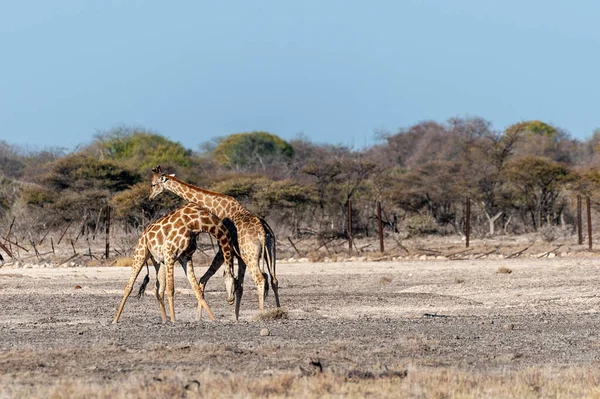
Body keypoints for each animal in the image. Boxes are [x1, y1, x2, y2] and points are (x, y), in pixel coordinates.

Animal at [150, 164, 282, 320]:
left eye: (153, 184)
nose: (150, 197)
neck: (217, 207)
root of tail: (262, 232)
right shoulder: (238, 255)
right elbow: (238, 285)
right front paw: (235, 318)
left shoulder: (222, 248)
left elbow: (205, 278)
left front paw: (199, 318)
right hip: (269, 252)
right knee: (274, 280)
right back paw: (279, 311)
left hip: (250, 255)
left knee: (260, 279)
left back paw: (261, 315)